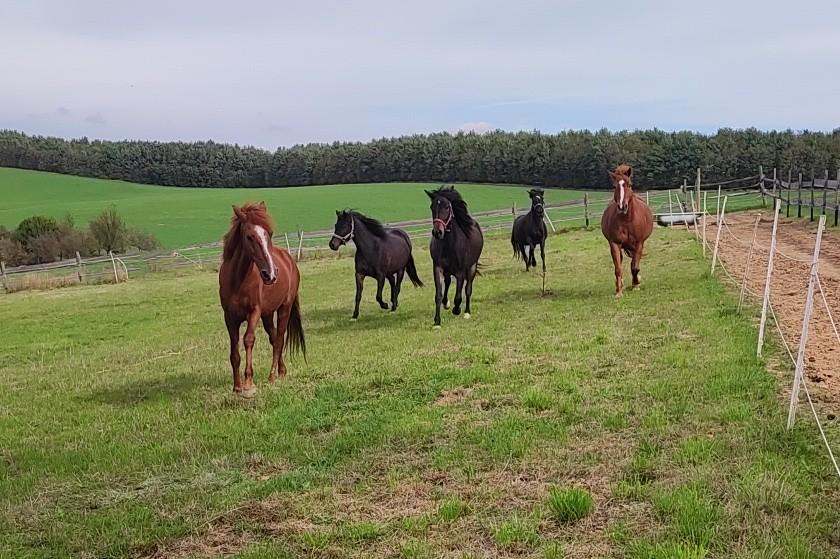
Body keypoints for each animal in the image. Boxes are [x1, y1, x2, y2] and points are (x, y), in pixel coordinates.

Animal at [219, 202, 305, 397]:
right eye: (249, 236)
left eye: (269, 234)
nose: (271, 274)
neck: (238, 280)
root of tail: (289, 260)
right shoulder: (229, 317)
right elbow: (234, 351)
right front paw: (236, 387)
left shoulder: (254, 312)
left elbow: (248, 339)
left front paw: (248, 384)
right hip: (267, 314)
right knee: (274, 338)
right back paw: (282, 371)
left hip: (284, 308)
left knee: (279, 339)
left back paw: (272, 376)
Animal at [427, 186, 484, 328]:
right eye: (432, 207)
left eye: (447, 207)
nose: (437, 232)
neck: (449, 245)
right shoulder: (437, 268)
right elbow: (438, 295)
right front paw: (437, 322)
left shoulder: (460, 272)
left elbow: (458, 296)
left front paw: (456, 310)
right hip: (448, 270)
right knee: (447, 282)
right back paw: (446, 304)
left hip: (472, 267)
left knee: (468, 289)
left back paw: (467, 312)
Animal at [600, 165, 654, 297]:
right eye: (615, 186)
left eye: (629, 184)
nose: (622, 207)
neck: (627, 221)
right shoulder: (615, 244)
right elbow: (618, 268)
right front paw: (619, 292)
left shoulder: (639, 243)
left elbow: (635, 267)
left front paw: (636, 285)